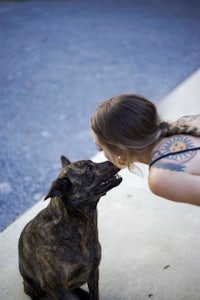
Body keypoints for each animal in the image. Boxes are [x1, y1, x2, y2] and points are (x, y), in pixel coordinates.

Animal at [18, 156, 122, 298]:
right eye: (88, 169)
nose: (117, 159)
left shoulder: (94, 273)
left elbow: (94, 294)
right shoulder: (55, 288)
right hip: (31, 286)